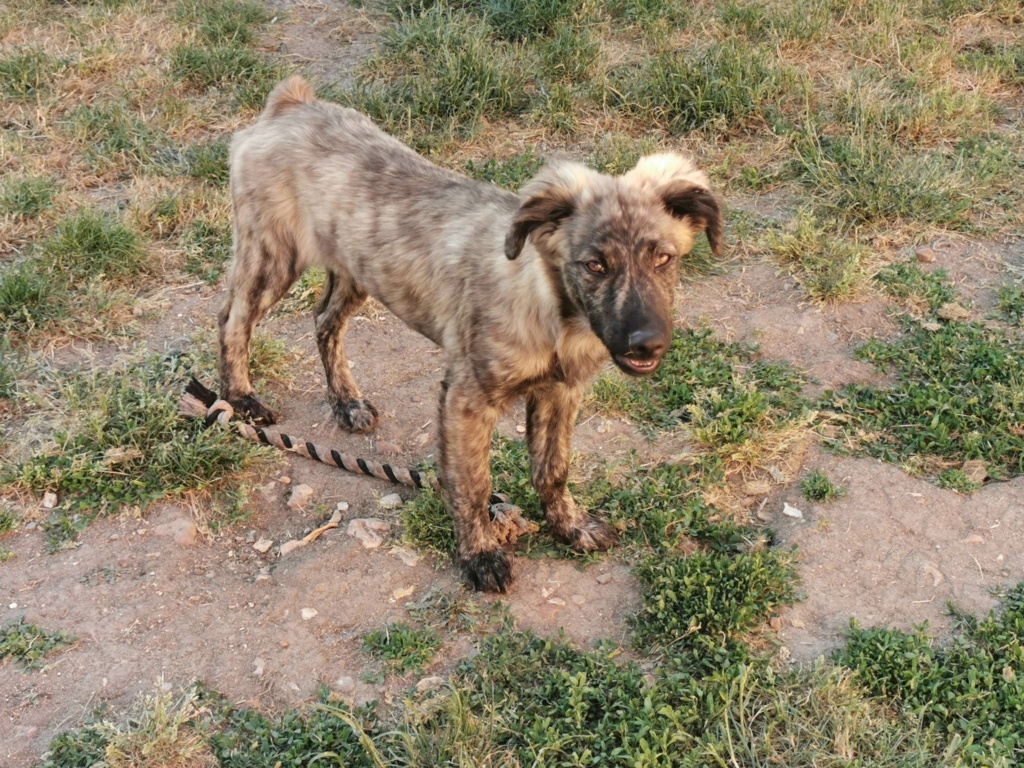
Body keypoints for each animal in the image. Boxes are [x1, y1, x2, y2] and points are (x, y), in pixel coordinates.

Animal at [220, 76, 724, 593]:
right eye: (595, 265)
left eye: (663, 258)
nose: (646, 343)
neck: (553, 312)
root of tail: (291, 104)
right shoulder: (466, 400)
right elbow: (474, 484)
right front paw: (480, 555)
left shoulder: (560, 392)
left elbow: (553, 468)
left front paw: (570, 525)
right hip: (273, 254)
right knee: (232, 319)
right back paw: (241, 398)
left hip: (354, 268)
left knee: (324, 321)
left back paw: (346, 401)